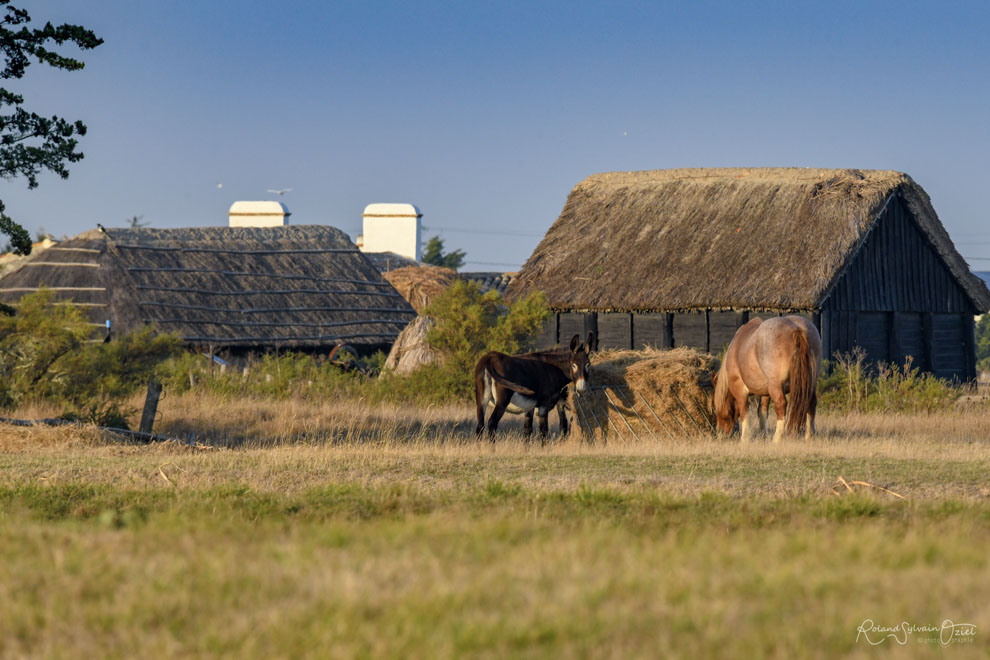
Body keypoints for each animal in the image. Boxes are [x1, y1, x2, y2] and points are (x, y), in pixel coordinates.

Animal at [716, 316, 824, 444]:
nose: (720, 433)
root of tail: (796, 329)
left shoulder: (739, 389)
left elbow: (744, 412)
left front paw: (745, 439)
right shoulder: (765, 393)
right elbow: (762, 413)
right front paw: (764, 436)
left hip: (776, 386)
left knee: (781, 406)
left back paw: (777, 439)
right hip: (811, 383)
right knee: (811, 403)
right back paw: (809, 436)